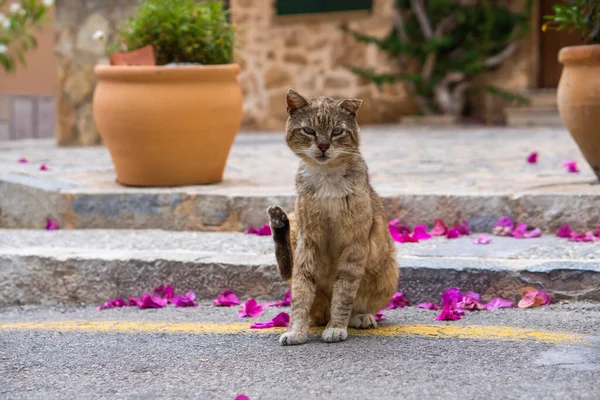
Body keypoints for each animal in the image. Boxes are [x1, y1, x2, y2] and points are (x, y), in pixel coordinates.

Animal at [266, 89, 398, 346]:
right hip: (296, 232)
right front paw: (296, 331)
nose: (324, 146)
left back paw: (360, 317)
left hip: (388, 273)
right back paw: (278, 221)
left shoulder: (354, 244)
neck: (326, 177)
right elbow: (301, 291)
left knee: (359, 305)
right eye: (309, 130)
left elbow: (344, 292)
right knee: (291, 272)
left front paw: (336, 328)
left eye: (336, 131)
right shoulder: (308, 241)